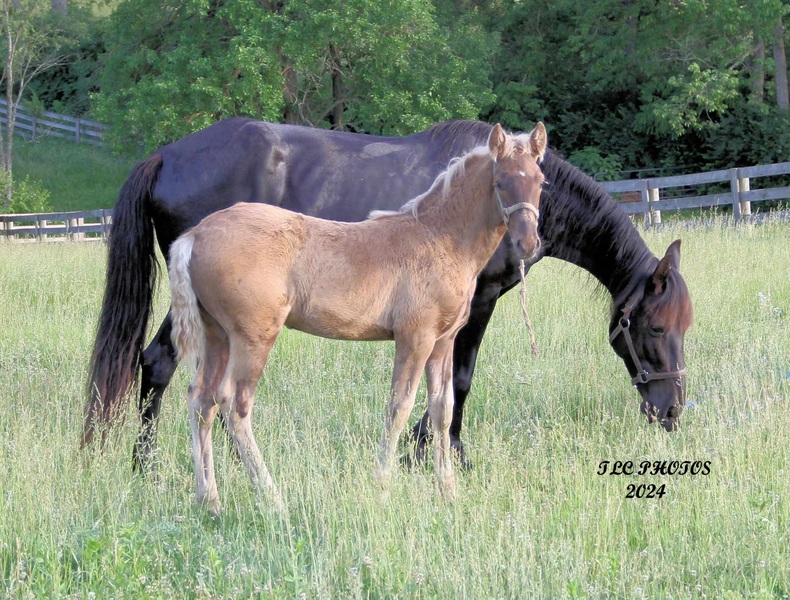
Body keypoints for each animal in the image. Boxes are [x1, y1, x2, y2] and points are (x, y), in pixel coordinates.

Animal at [83, 118, 693, 470]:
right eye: (655, 327)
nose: (672, 413)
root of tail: (167, 155)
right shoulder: (477, 304)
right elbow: (460, 382)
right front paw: (441, 451)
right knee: (160, 364)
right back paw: (154, 467)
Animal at [166, 124, 547, 513]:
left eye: (540, 181)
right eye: (500, 182)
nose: (529, 244)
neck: (438, 238)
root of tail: (195, 235)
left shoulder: (444, 341)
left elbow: (442, 408)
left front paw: (448, 490)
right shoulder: (416, 337)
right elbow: (399, 406)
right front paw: (383, 487)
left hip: (217, 335)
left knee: (201, 399)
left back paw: (209, 499)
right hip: (253, 336)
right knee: (234, 403)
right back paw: (273, 499)